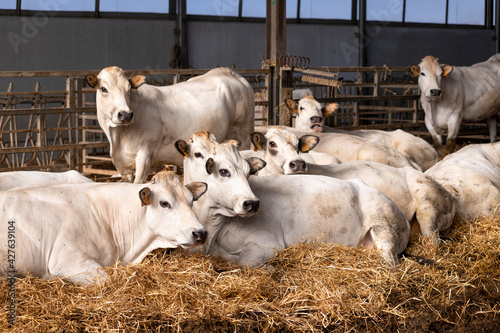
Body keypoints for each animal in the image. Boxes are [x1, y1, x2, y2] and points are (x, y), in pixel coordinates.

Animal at [85, 66, 254, 183]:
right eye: (103, 89)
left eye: (129, 90)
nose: (125, 114)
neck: (118, 138)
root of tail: (231, 73)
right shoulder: (123, 166)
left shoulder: (145, 155)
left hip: (243, 136)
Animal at [176, 132, 410, 264]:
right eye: (224, 171)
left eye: (249, 172)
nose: (252, 203)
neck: (214, 225)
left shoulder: (266, 246)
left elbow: (241, 262)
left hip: (383, 230)